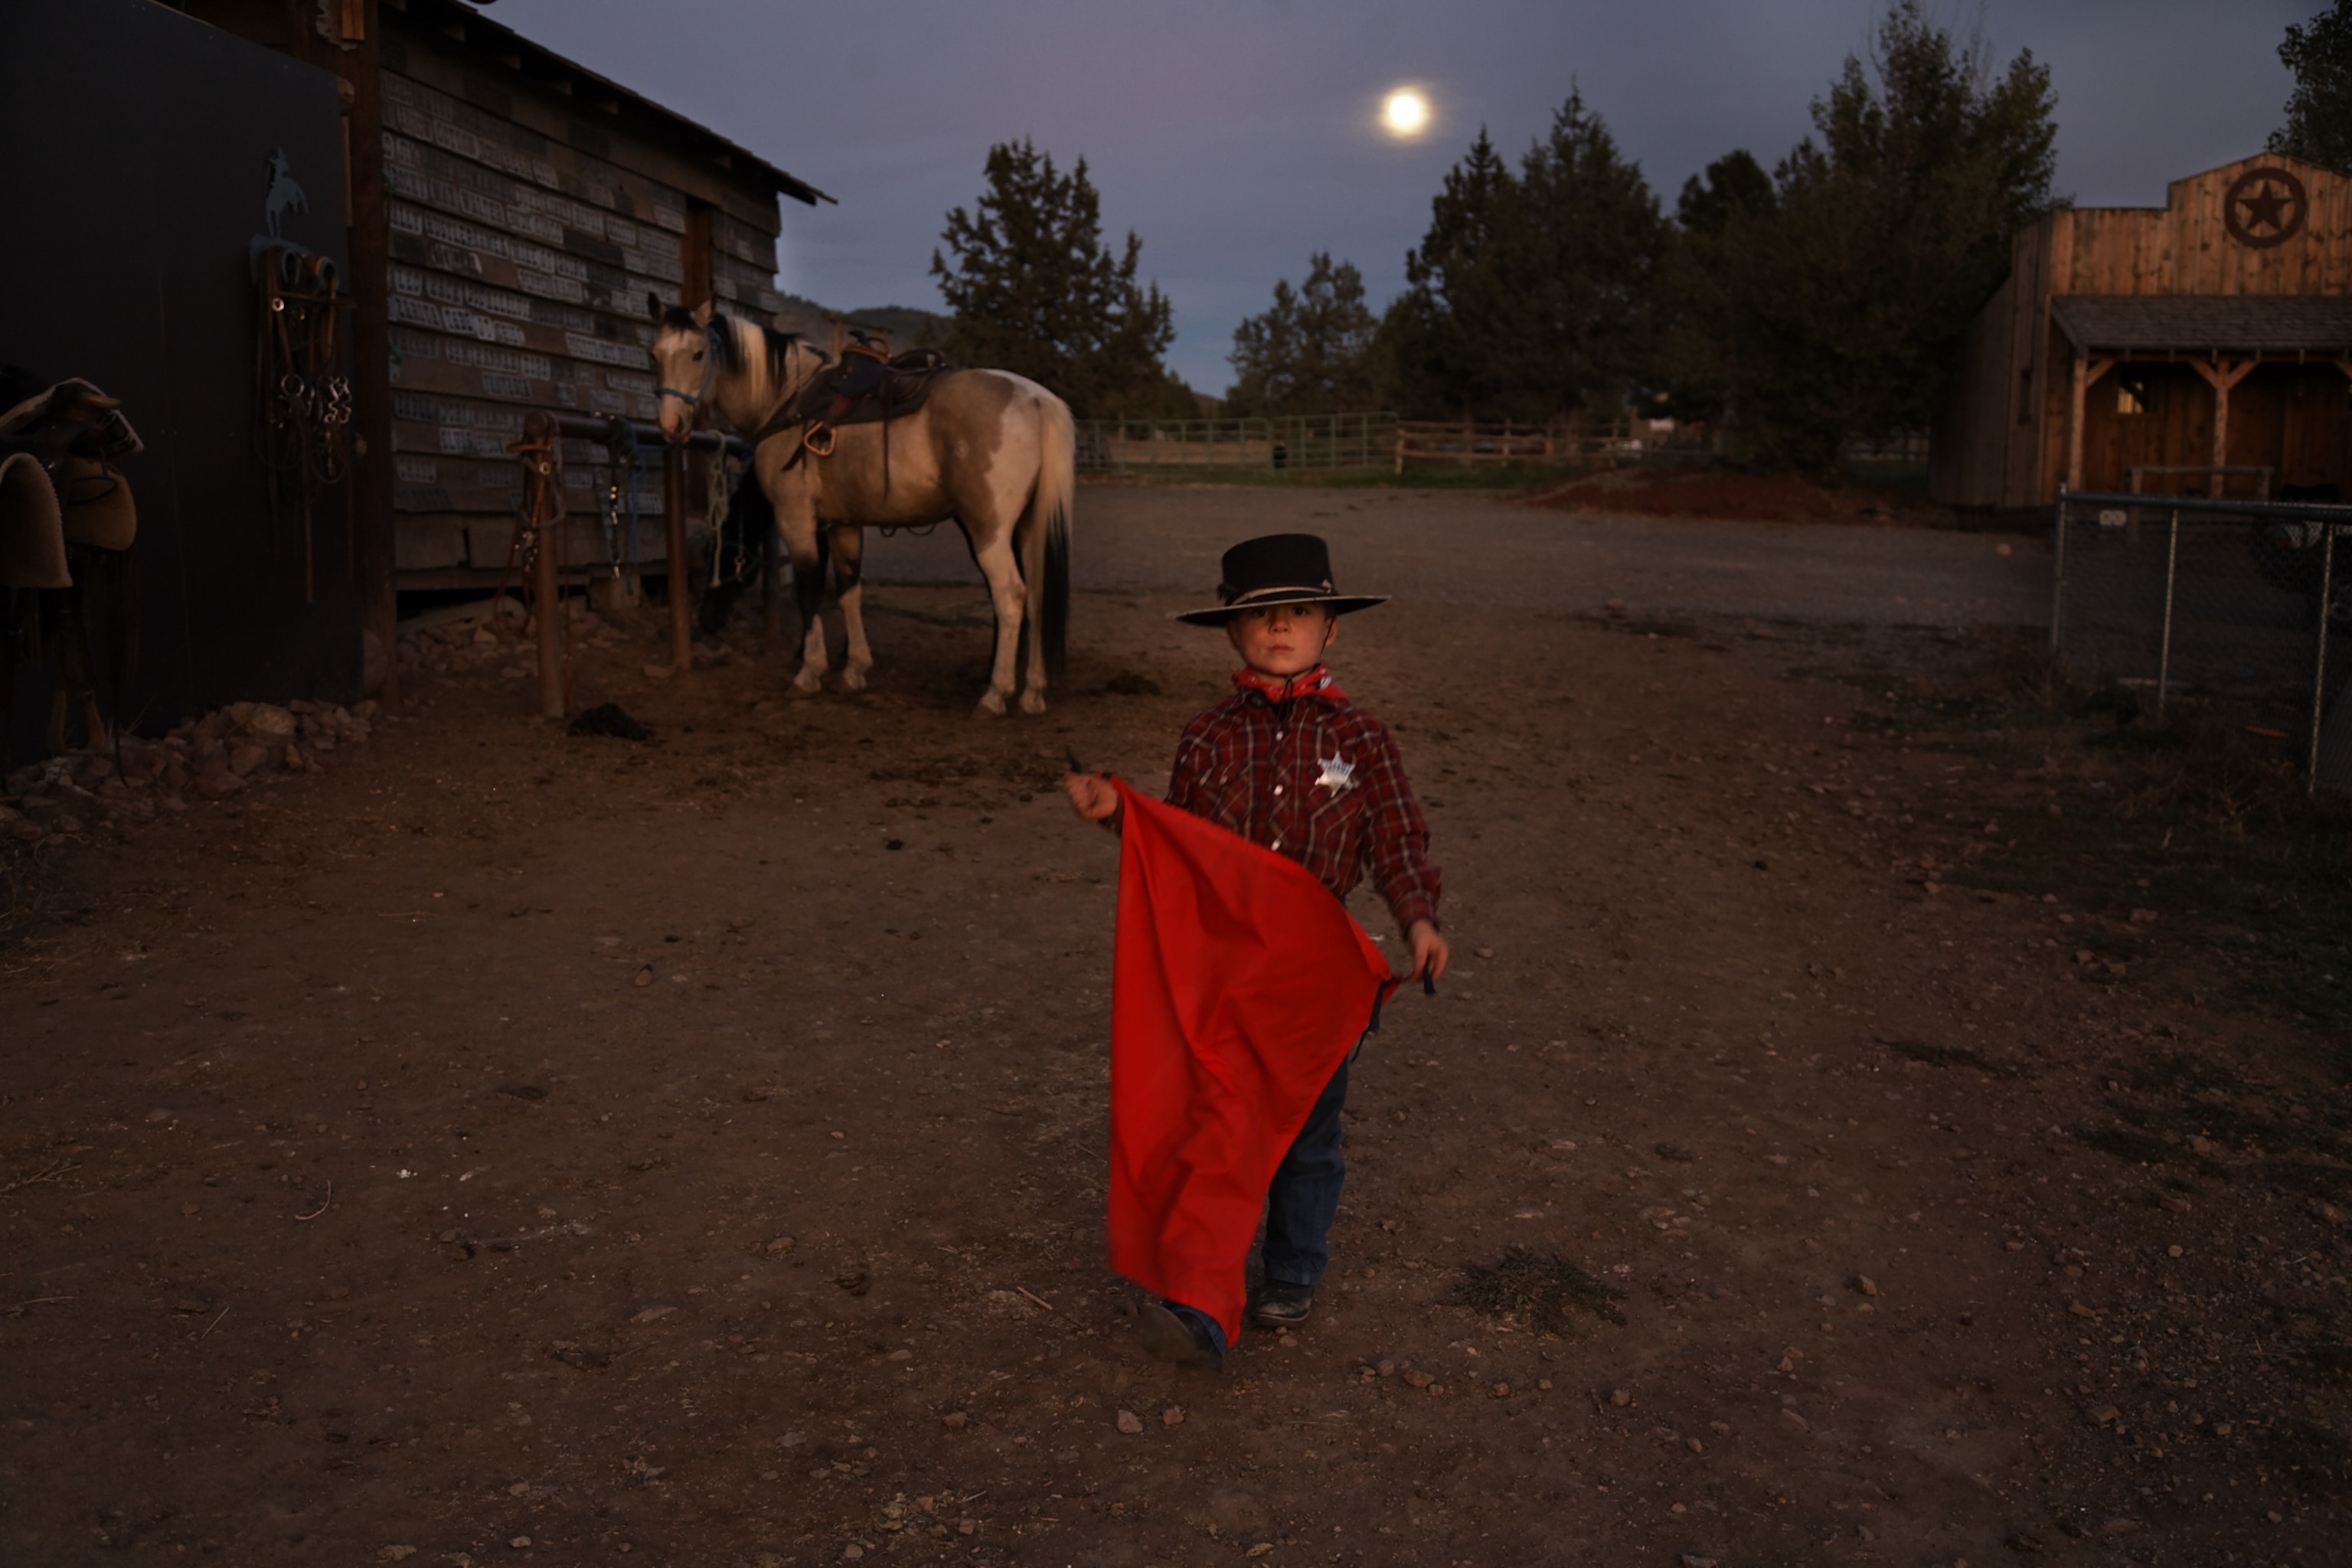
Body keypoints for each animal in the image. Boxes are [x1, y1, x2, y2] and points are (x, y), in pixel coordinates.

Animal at [654, 297, 1076, 714]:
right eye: (655, 354)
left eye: (697, 354)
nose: (671, 425)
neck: (787, 400)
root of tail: (1036, 399)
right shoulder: (844, 524)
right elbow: (849, 592)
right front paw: (853, 671)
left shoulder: (795, 518)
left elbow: (810, 592)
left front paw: (809, 673)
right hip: (1028, 528)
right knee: (1036, 596)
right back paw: (1032, 693)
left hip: (989, 531)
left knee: (1011, 597)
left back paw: (995, 694)